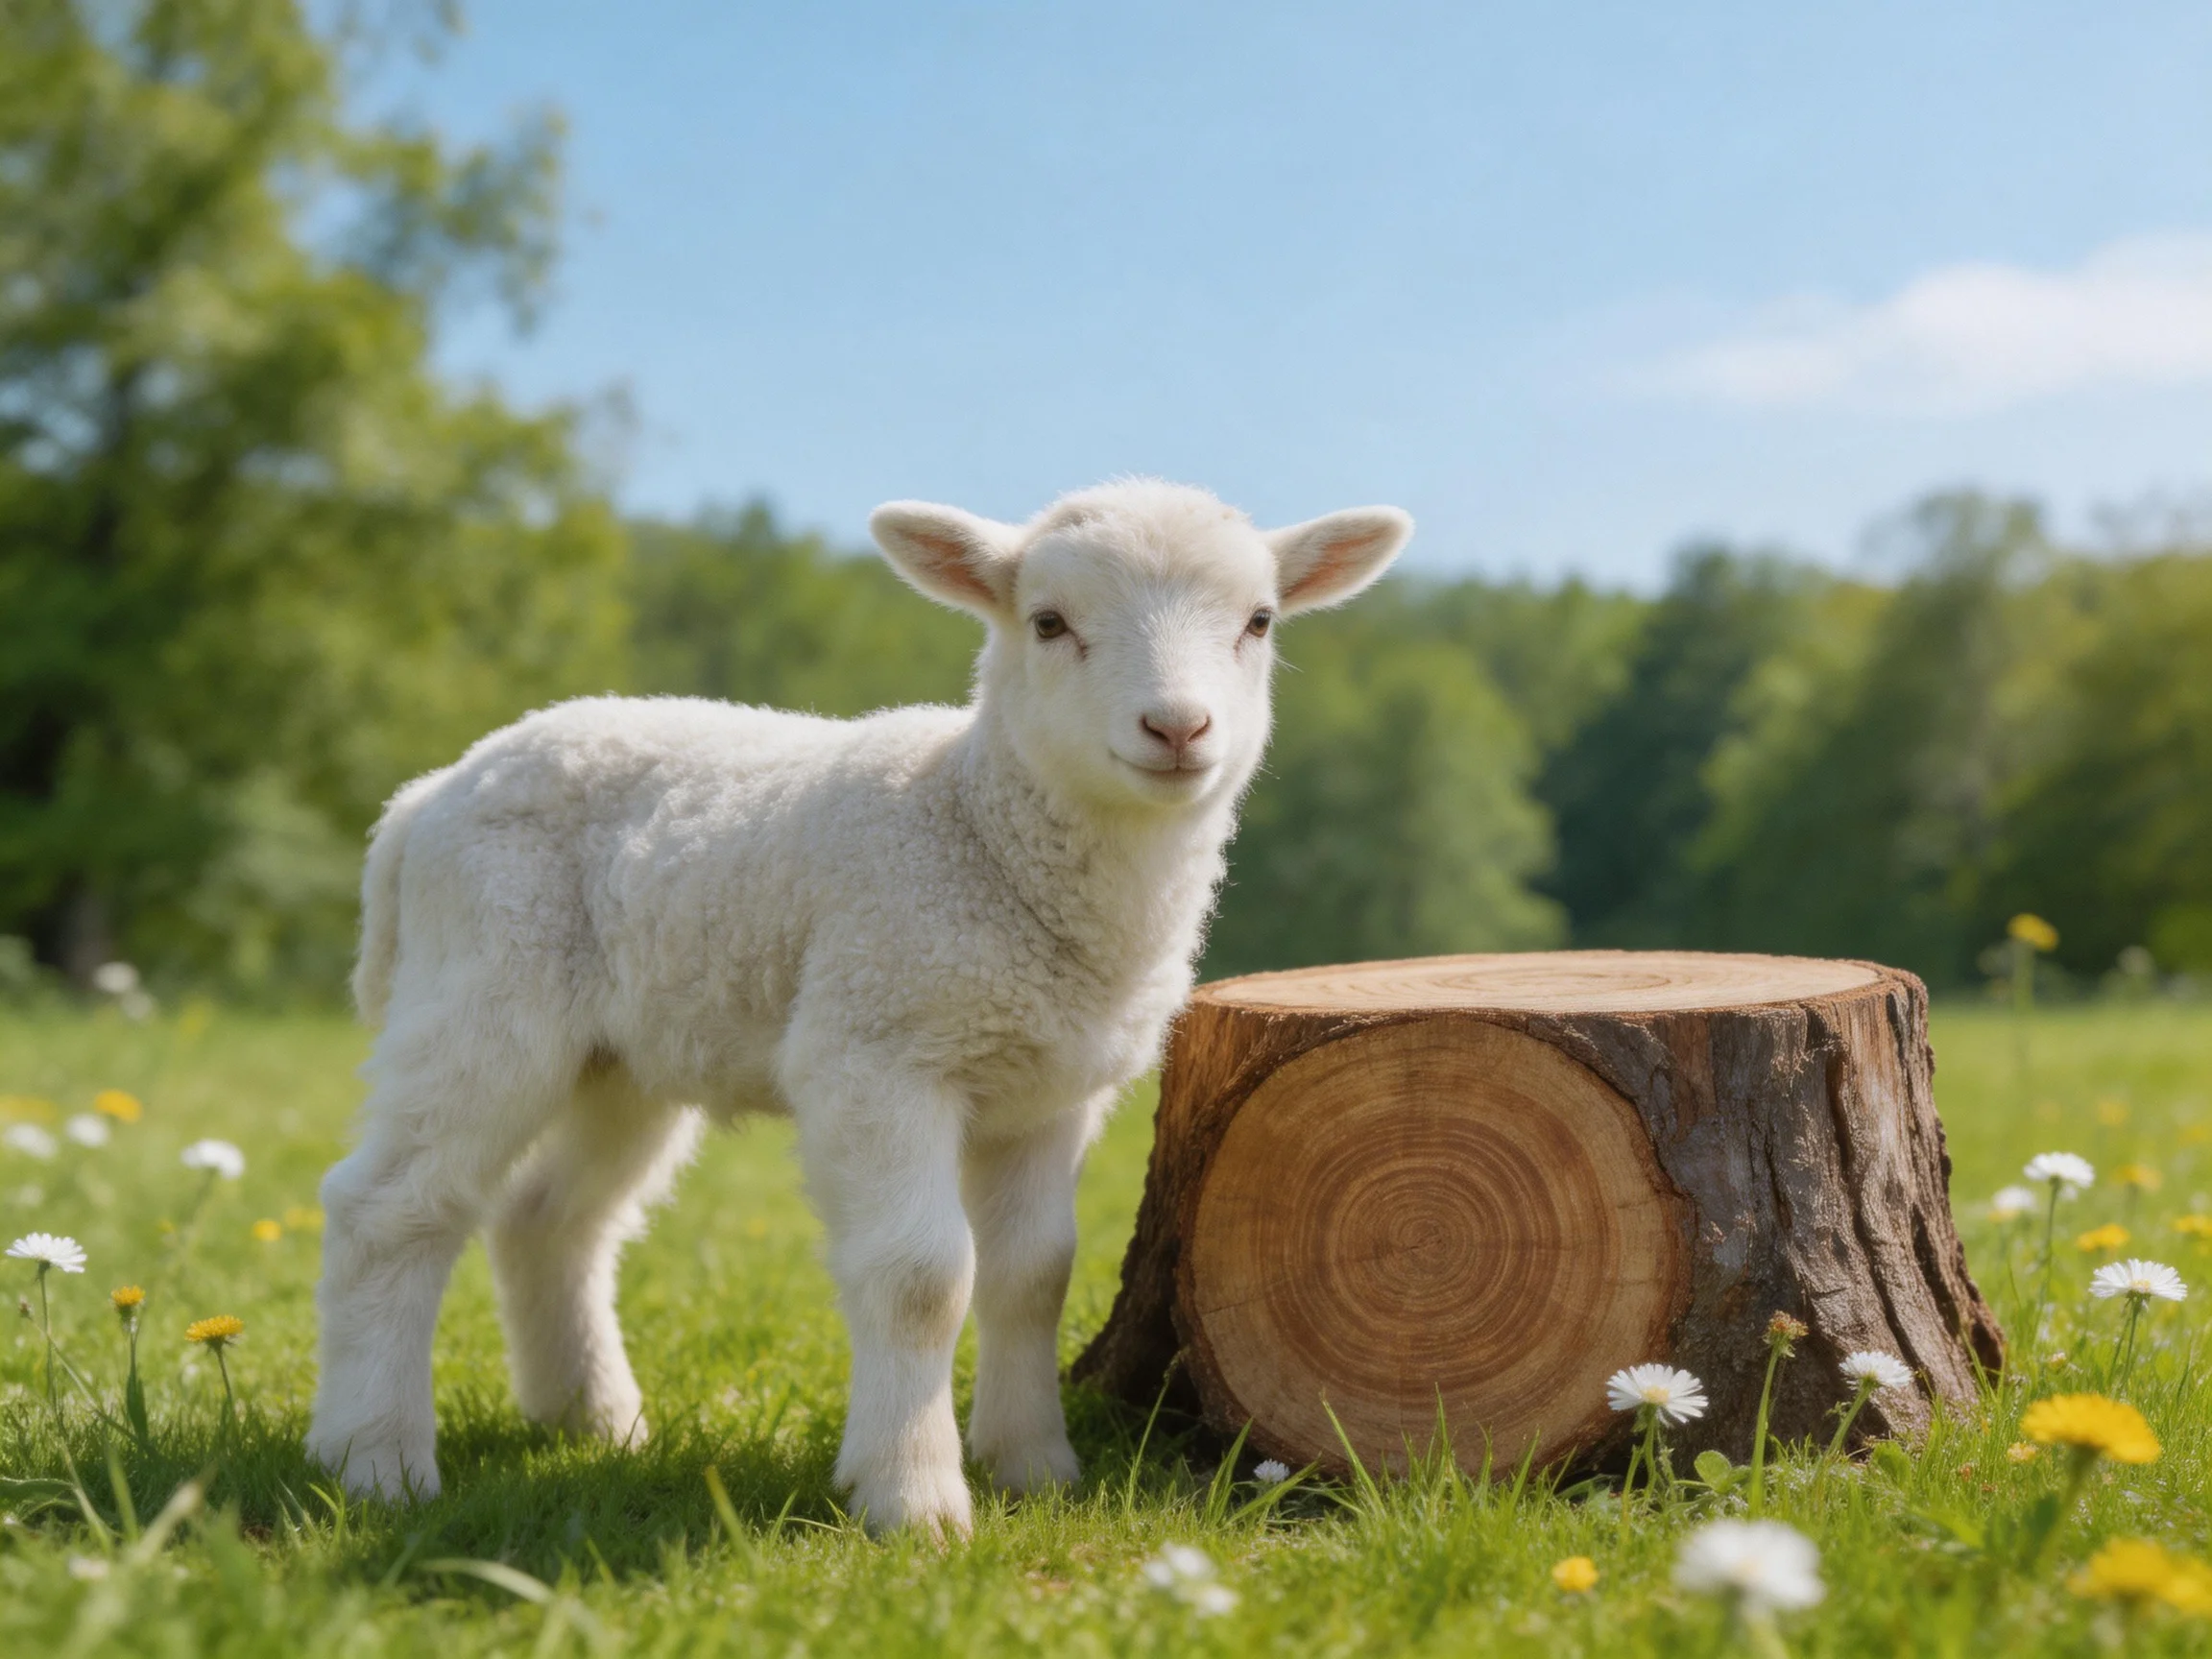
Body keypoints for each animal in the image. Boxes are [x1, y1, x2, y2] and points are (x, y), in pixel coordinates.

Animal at [306, 478, 1412, 1534]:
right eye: (1049, 621)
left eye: (1260, 621)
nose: (1178, 728)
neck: (980, 825)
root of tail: (428, 794)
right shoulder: (876, 1049)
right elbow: (922, 1279)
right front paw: (913, 1498)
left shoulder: (1048, 1086)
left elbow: (1033, 1274)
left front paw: (1034, 1469)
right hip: (488, 984)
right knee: (388, 1208)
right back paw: (375, 1459)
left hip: (620, 1053)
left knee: (550, 1218)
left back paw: (592, 1419)